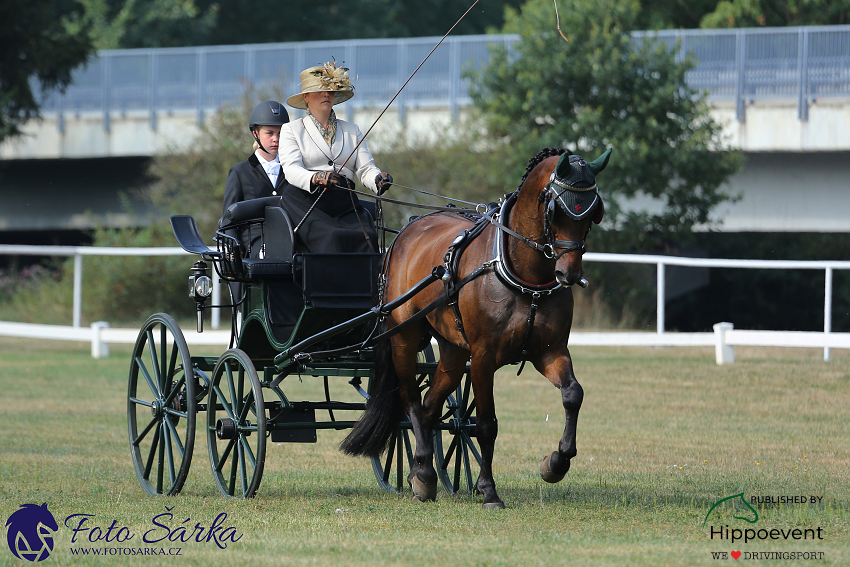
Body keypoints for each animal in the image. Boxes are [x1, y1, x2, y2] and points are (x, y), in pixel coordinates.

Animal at [340, 146, 608, 510]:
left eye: (592, 212)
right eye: (558, 211)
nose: (569, 273)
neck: (525, 275)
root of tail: (406, 232)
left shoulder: (550, 352)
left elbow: (572, 395)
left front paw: (555, 462)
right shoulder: (483, 358)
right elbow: (485, 425)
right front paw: (489, 490)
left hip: (453, 350)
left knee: (429, 407)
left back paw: (422, 472)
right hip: (404, 338)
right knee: (411, 402)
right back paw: (423, 473)